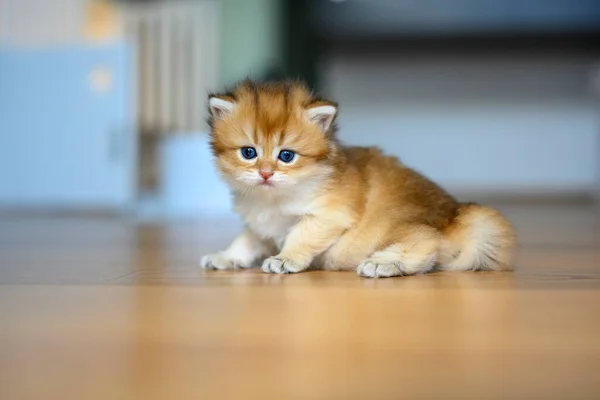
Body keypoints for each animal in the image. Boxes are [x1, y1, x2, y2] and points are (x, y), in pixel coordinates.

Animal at [202, 79, 516, 276]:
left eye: (286, 156)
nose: (266, 173)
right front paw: (225, 257)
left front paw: (285, 259)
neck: (272, 199)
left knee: (427, 243)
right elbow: (245, 242)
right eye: (249, 152)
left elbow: (301, 237)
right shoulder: (260, 225)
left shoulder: (330, 215)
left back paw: (384, 265)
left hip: (396, 227)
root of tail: (456, 215)